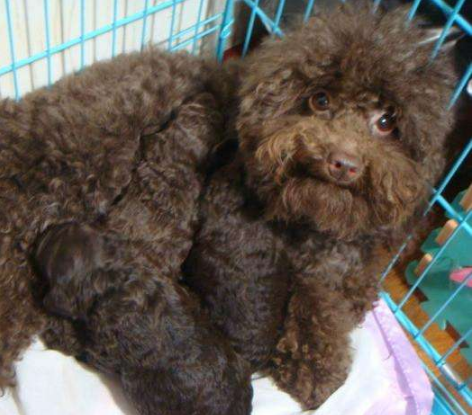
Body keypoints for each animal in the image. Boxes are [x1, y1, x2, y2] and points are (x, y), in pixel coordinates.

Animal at [184, 3, 459, 409]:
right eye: (320, 100)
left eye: (386, 121)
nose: (343, 162)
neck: (315, 219)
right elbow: (317, 304)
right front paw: (314, 367)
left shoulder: (347, 263)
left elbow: (337, 297)